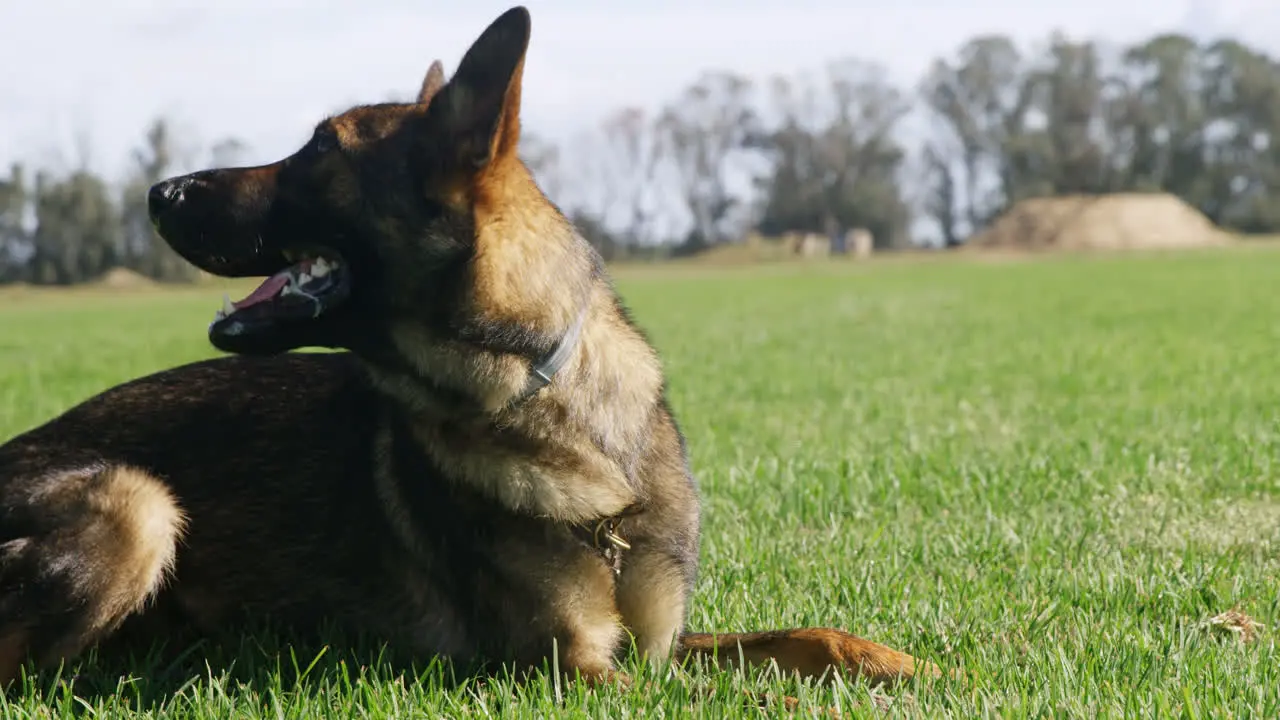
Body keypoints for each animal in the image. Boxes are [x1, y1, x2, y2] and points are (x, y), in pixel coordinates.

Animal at [0, 4, 942, 691]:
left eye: (319, 149)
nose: (158, 193)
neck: (548, 402)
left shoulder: (657, 647)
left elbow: (805, 639)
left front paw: (904, 665)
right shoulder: (577, 668)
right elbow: (718, 699)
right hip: (138, 506)